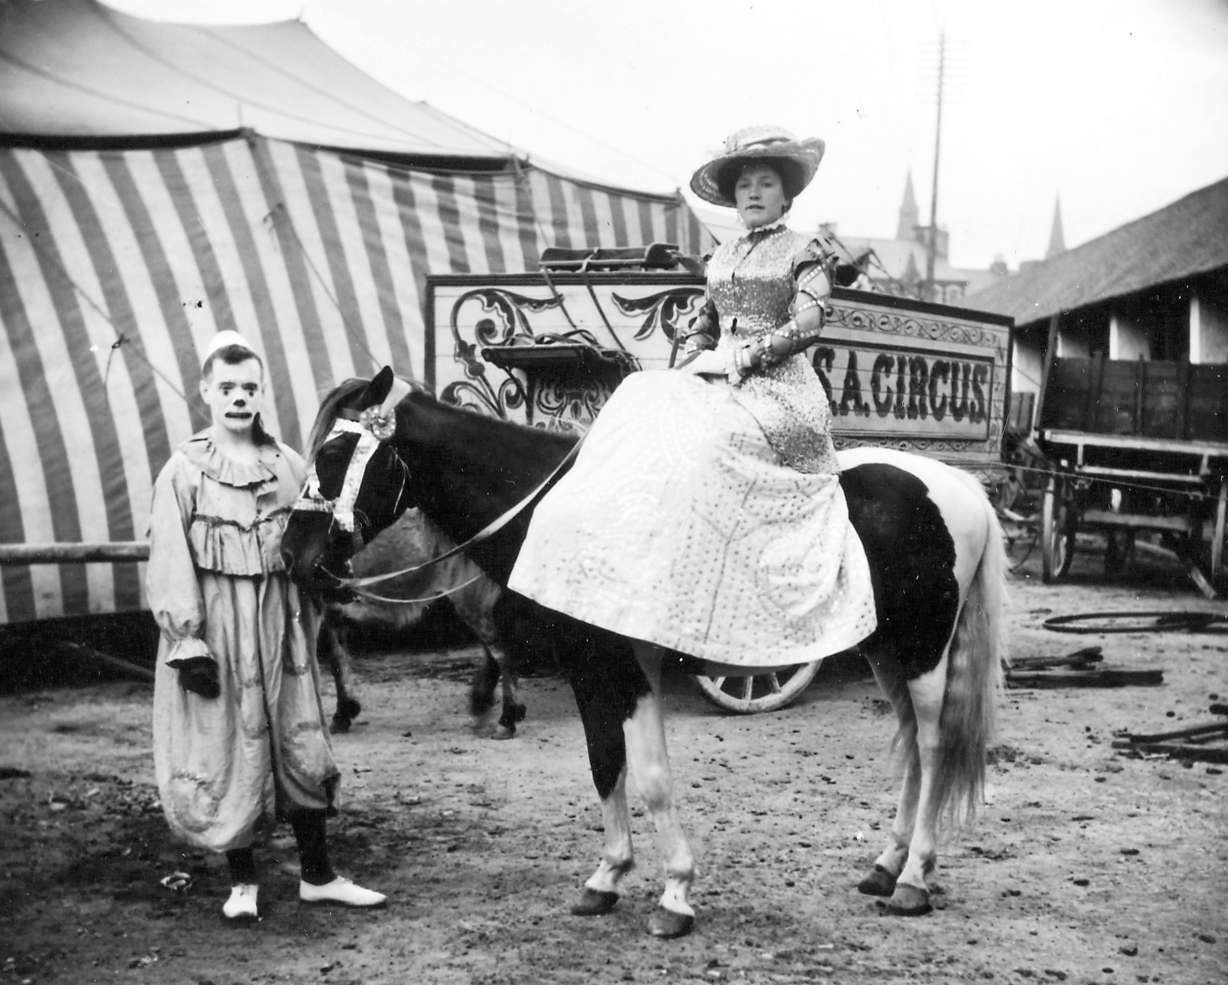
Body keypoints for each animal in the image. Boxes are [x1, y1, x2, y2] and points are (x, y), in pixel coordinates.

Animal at [287, 368, 1006, 938]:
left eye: (337, 449)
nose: (295, 555)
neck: (561, 507)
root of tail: (959, 486)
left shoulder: (625, 668)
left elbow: (653, 777)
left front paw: (675, 894)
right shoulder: (591, 668)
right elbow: (607, 765)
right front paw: (607, 878)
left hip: (925, 651)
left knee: (934, 745)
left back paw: (914, 878)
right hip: (887, 653)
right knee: (911, 745)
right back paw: (886, 865)